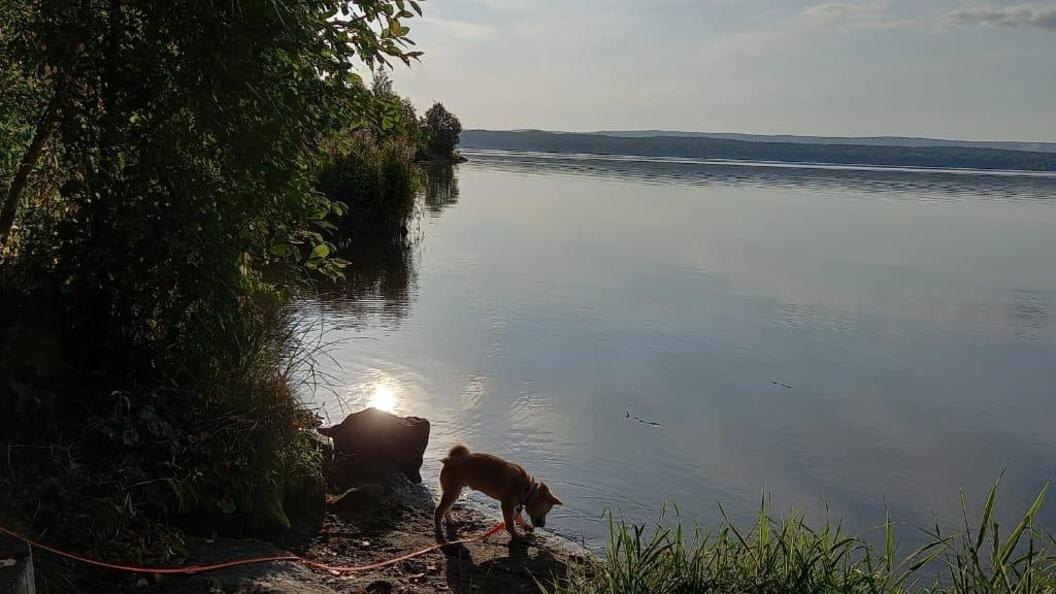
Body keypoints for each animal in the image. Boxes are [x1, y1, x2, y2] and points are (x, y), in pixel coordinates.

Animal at [432, 441, 561, 539]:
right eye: (547, 511)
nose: (543, 525)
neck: (527, 489)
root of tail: (450, 459)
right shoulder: (507, 506)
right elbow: (509, 524)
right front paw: (516, 535)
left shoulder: (514, 505)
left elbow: (518, 517)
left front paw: (525, 526)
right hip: (452, 492)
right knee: (438, 511)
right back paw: (438, 529)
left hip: (454, 492)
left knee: (446, 509)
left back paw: (450, 521)